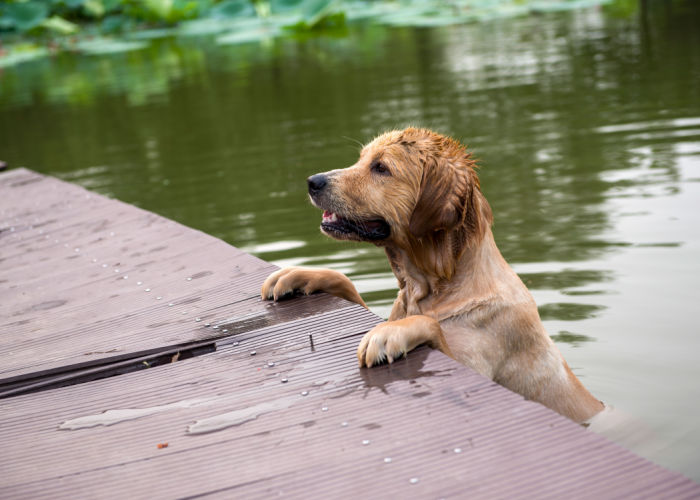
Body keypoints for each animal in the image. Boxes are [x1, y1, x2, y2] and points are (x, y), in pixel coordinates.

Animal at [262, 128, 600, 422]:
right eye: (361, 159)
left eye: (381, 168)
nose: (312, 181)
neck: (432, 288)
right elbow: (345, 281)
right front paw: (295, 275)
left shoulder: (477, 365)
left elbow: (429, 325)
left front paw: (387, 334)